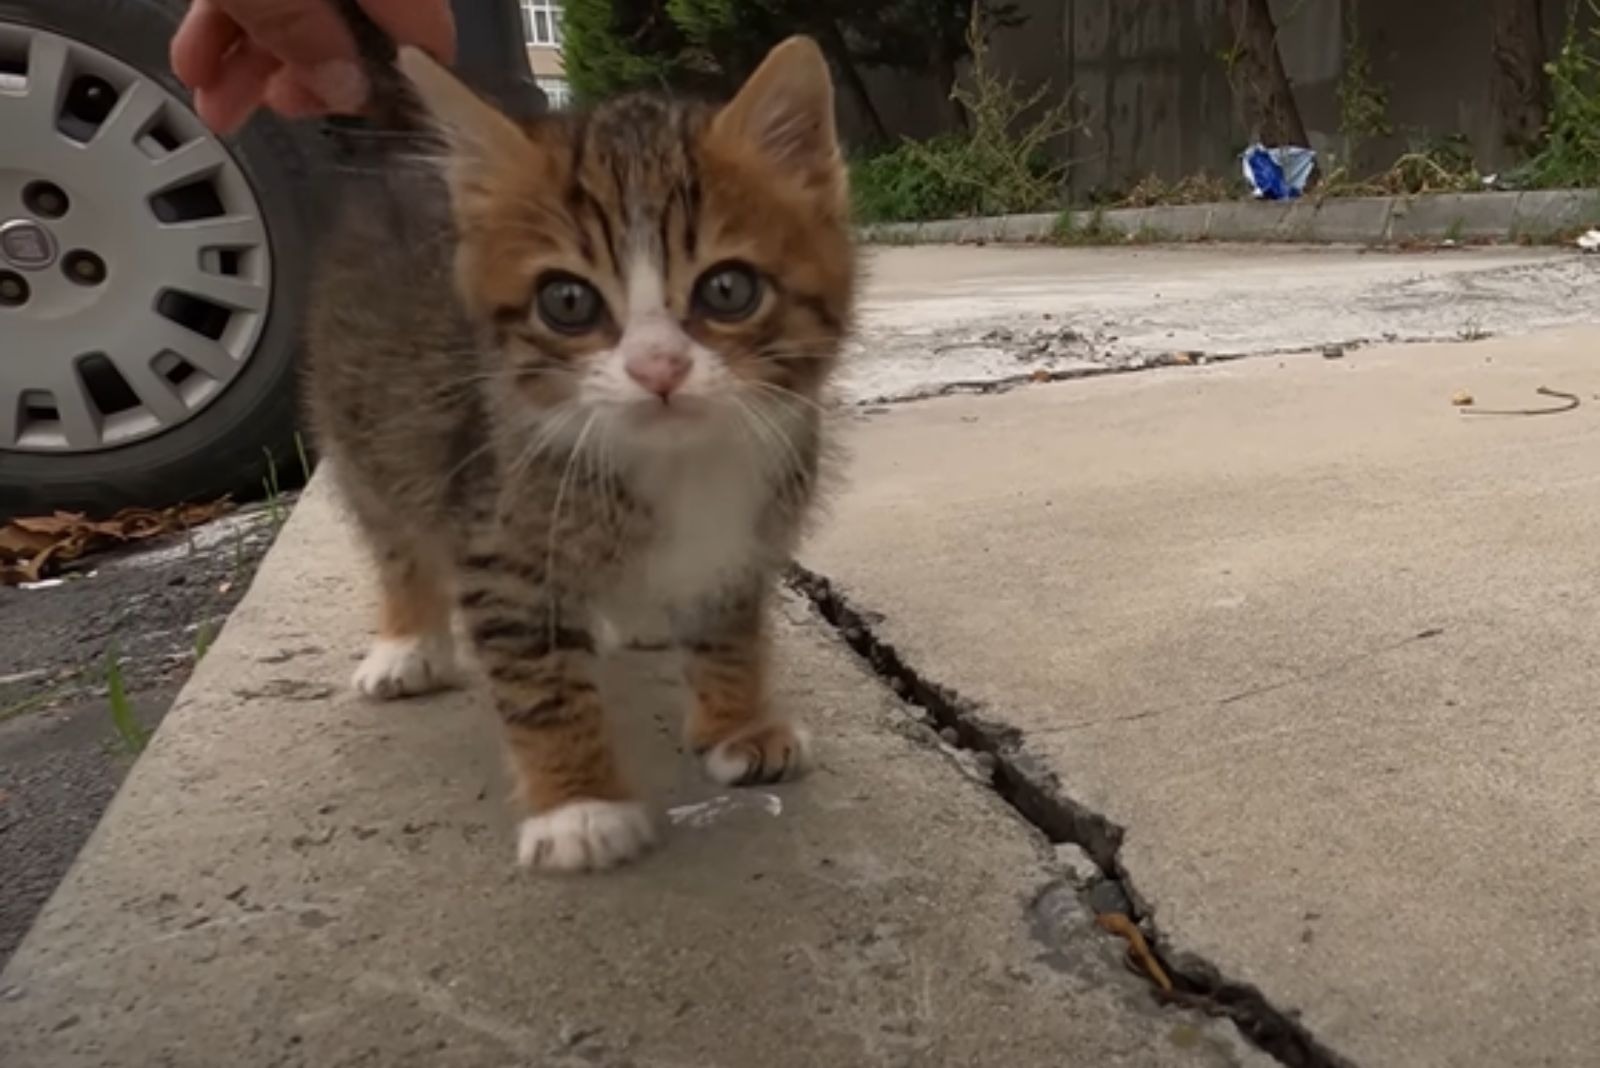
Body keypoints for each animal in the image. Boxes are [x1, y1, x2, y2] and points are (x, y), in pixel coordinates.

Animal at [310, 37, 857, 869]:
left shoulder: (747, 535)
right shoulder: (501, 541)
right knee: (394, 533)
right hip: (364, 426)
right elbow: (540, 681)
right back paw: (408, 641)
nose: (658, 369)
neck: (678, 463)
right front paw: (579, 806)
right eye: (567, 302)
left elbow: (728, 626)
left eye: (728, 289)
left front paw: (736, 725)